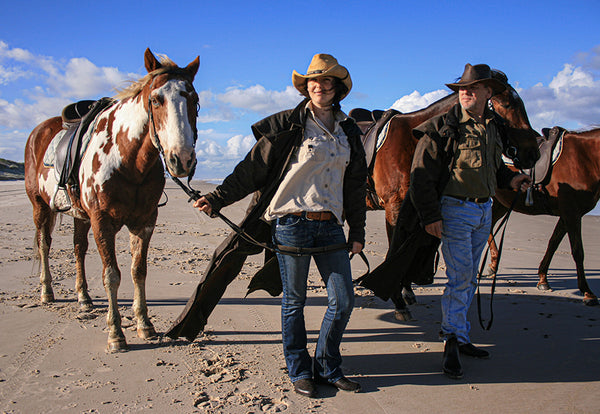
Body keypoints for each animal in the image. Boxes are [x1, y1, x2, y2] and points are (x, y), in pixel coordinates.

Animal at [24, 49, 202, 352]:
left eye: (195, 100)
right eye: (156, 99)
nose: (182, 159)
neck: (127, 160)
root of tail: (38, 131)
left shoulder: (145, 221)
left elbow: (138, 270)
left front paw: (144, 325)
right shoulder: (102, 222)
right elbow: (112, 275)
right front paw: (116, 333)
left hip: (79, 216)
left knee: (78, 249)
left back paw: (84, 298)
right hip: (40, 206)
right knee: (44, 244)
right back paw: (47, 291)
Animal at [488, 128, 600, 306]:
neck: (585, 159)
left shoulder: (567, 214)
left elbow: (553, 243)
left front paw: (542, 279)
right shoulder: (572, 213)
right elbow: (578, 251)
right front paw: (587, 292)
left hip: (502, 203)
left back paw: (493, 264)